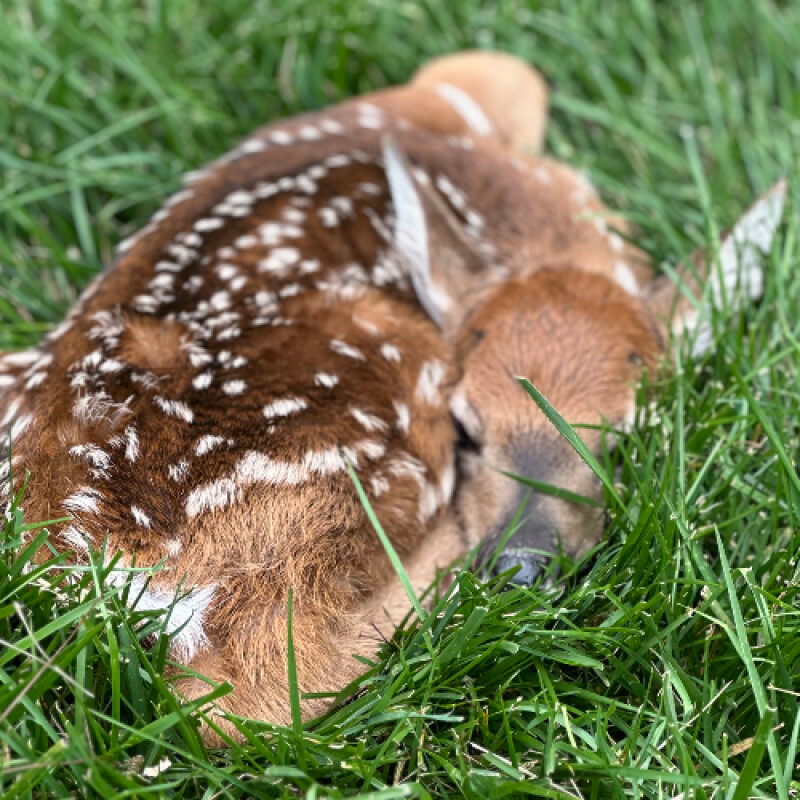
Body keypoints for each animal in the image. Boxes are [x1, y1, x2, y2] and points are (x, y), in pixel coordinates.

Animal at [0, 51, 785, 744]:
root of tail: (100, 571)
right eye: (467, 430)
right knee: (260, 698)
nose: (521, 567)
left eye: (626, 440)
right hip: (377, 407)